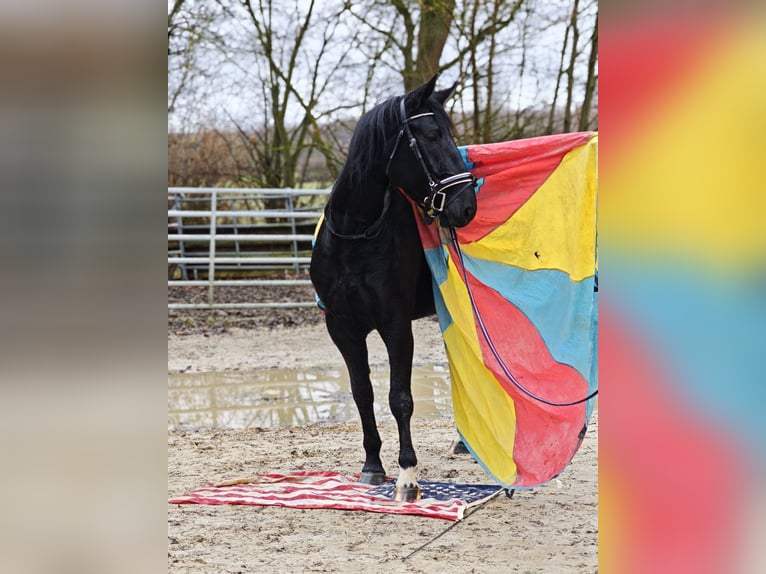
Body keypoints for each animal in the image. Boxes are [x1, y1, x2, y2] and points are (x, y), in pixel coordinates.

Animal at [310, 75, 478, 501]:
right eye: (433, 135)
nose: (466, 206)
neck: (356, 234)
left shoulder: (396, 325)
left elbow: (400, 398)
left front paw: (407, 475)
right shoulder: (343, 328)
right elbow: (362, 393)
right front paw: (372, 465)